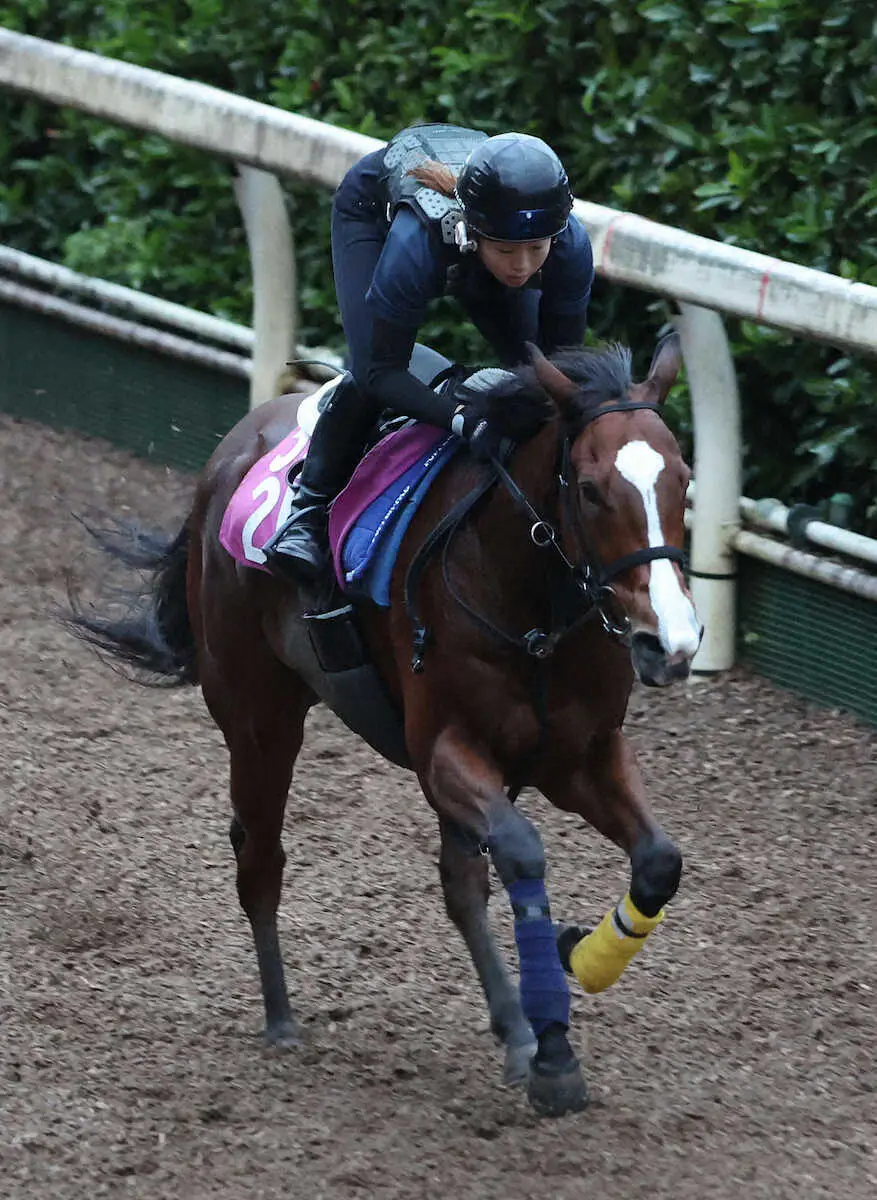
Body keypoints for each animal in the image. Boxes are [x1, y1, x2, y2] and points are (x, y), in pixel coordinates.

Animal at [68, 336, 705, 1113]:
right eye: (588, 489)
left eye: (683, 481)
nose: (669, 643)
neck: (534, 607)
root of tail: (229, 453)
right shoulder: (443, 750)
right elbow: (523, 854)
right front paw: (554, 1049)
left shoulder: (578, 755)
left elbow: (658, 861)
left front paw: (575, 965)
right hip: (258, 716)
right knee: (260, 857)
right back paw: (282, 1018)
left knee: (458, 881)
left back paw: (511, 1025)